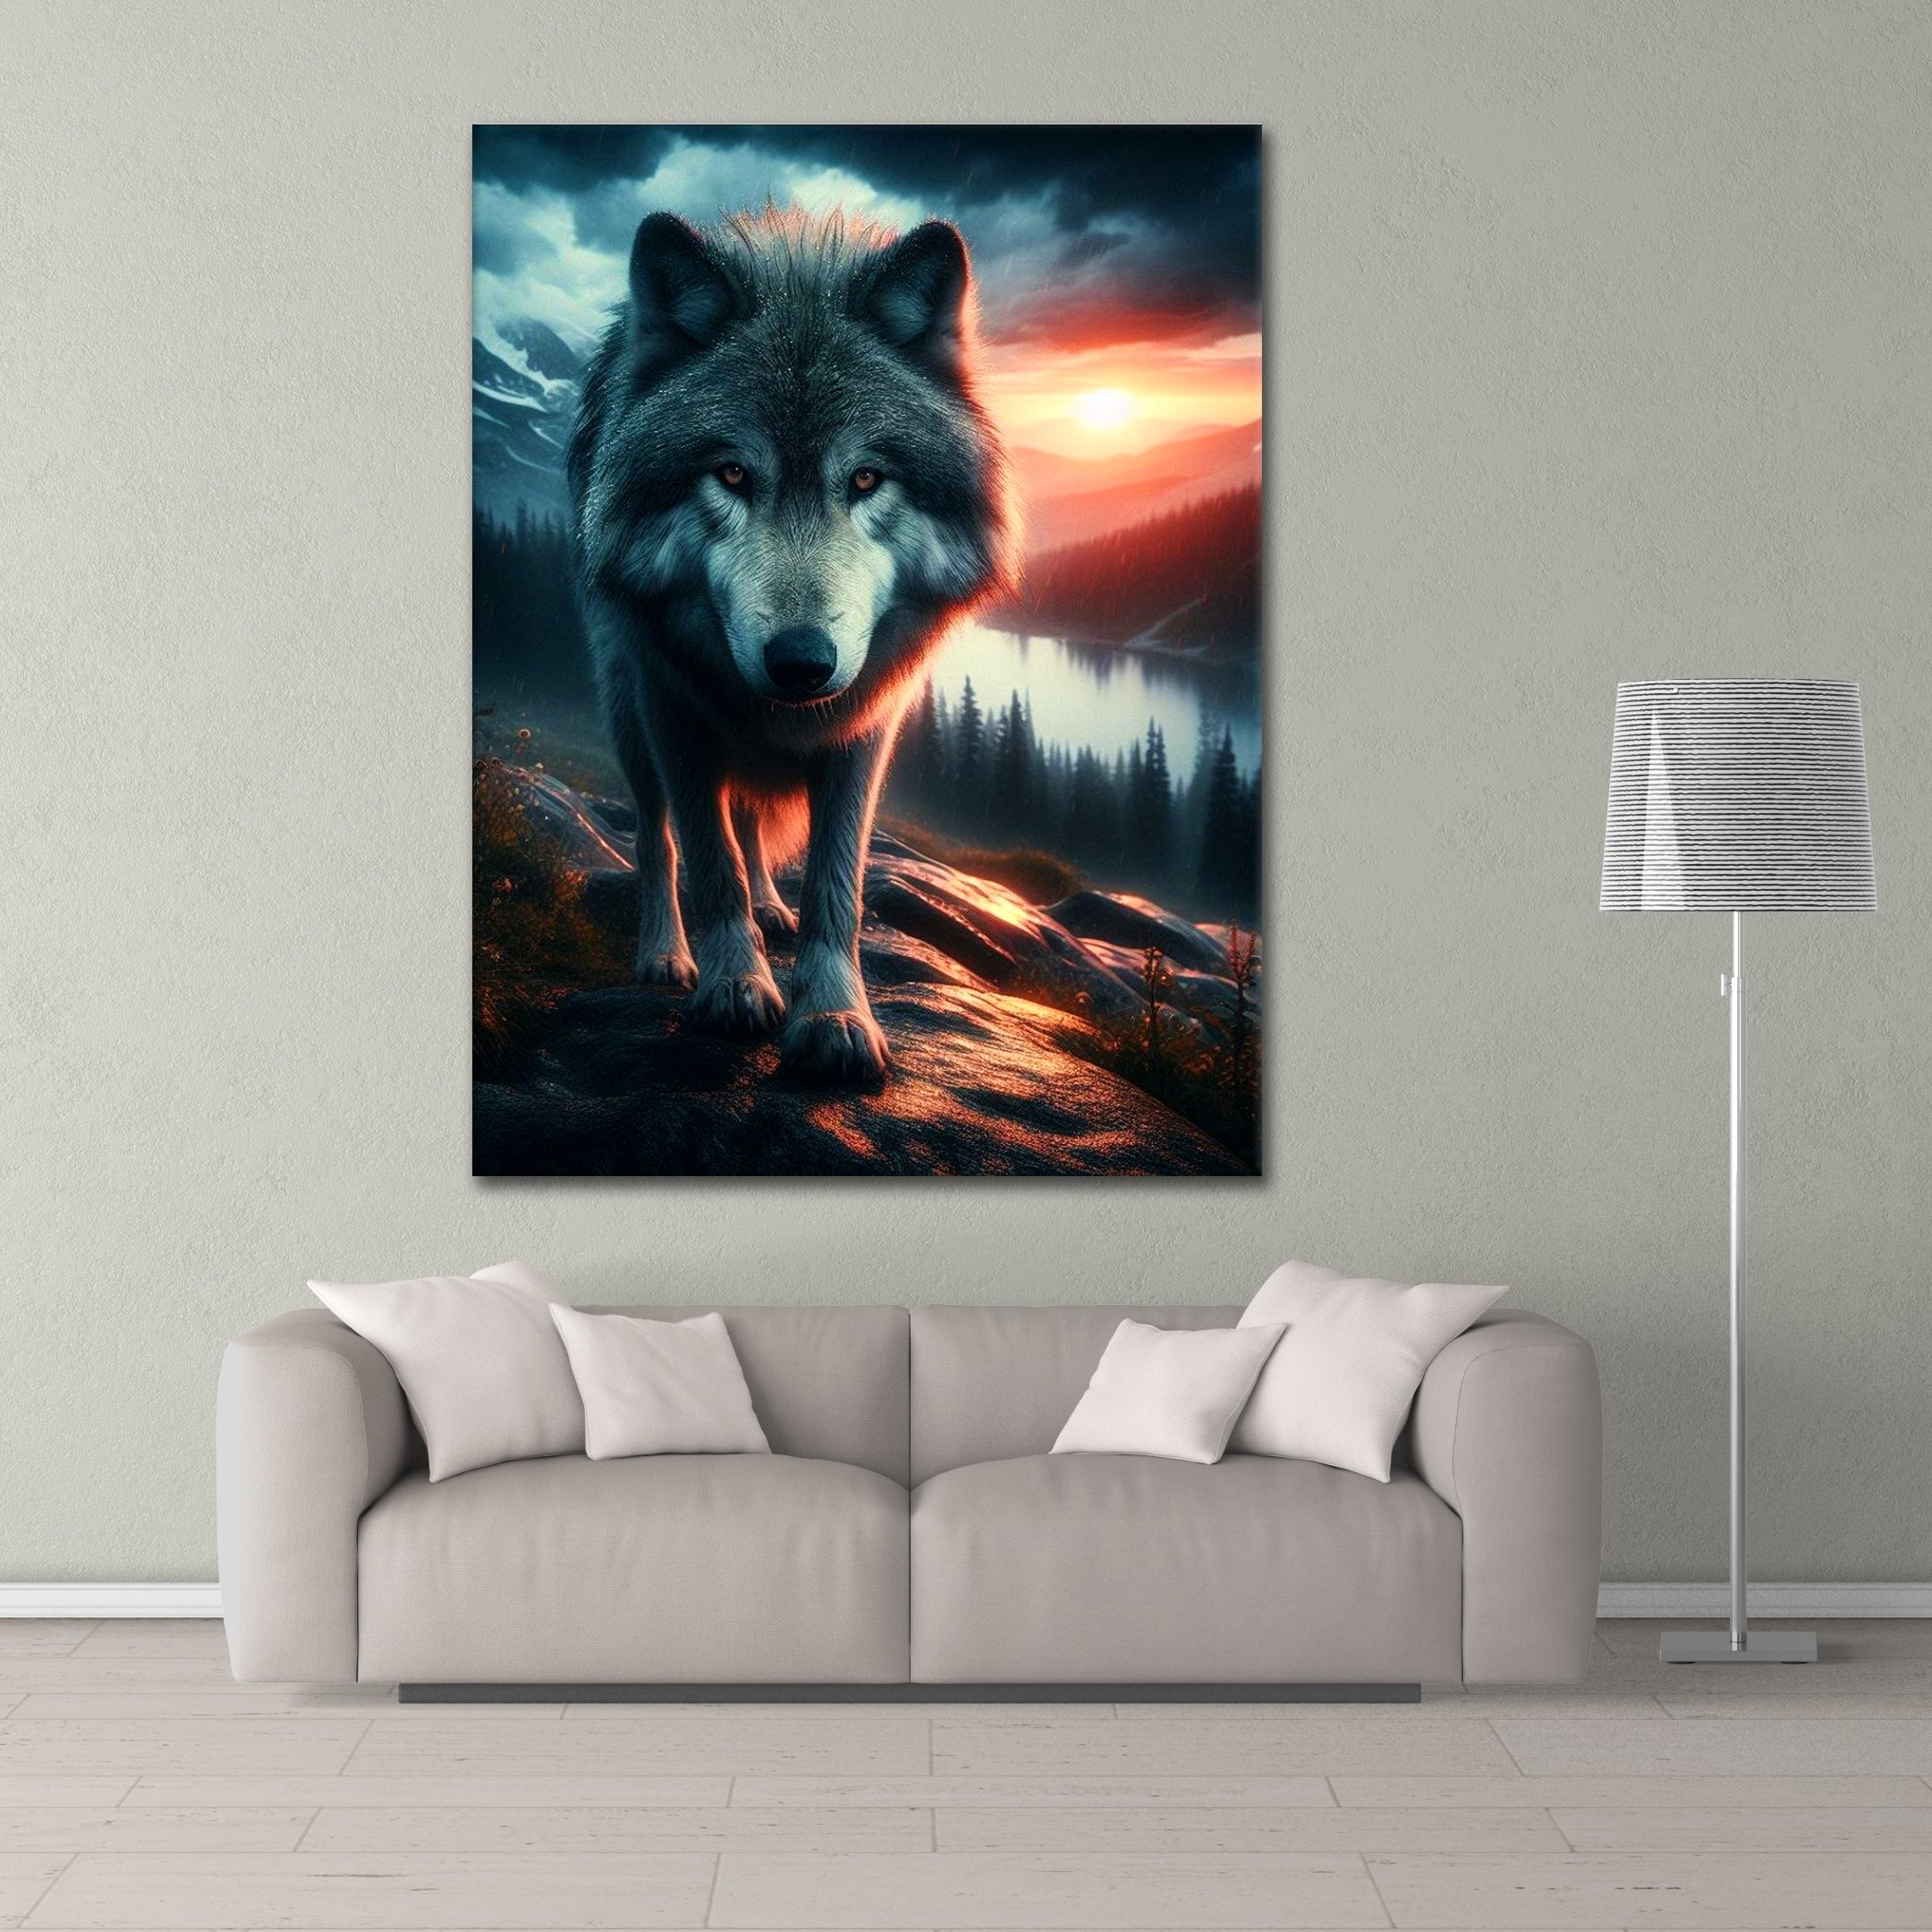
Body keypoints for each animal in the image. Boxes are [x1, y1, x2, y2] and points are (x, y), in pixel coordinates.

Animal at [568, 207, 1015, 1084]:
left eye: (867, 479)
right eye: (734, 475)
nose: (802, 663)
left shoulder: (867, 726)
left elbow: (834, 885)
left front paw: (836, 1015)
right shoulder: (673, 711)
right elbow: (709, 862)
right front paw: (734, 986)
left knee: (751, 825)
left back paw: (772, 911)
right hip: (627, 715)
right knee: (656, 838)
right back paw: (666, 953)